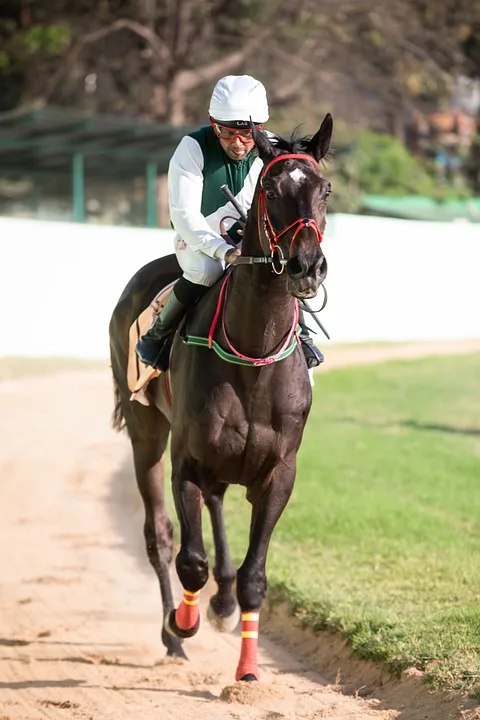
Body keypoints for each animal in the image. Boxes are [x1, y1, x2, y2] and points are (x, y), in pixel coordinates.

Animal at [109, 115, 332, 684]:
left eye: (324, 189)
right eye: (270, 188)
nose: (306, 267)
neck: (253, 353)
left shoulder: (279, 473)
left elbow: (256, 576)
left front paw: (248, 670)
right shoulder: (185, 460)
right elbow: (190, 559)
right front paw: (182, 622)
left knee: (216, 504)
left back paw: (224, 603)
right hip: (146, 432)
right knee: (160, 534)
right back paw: (175, 634)